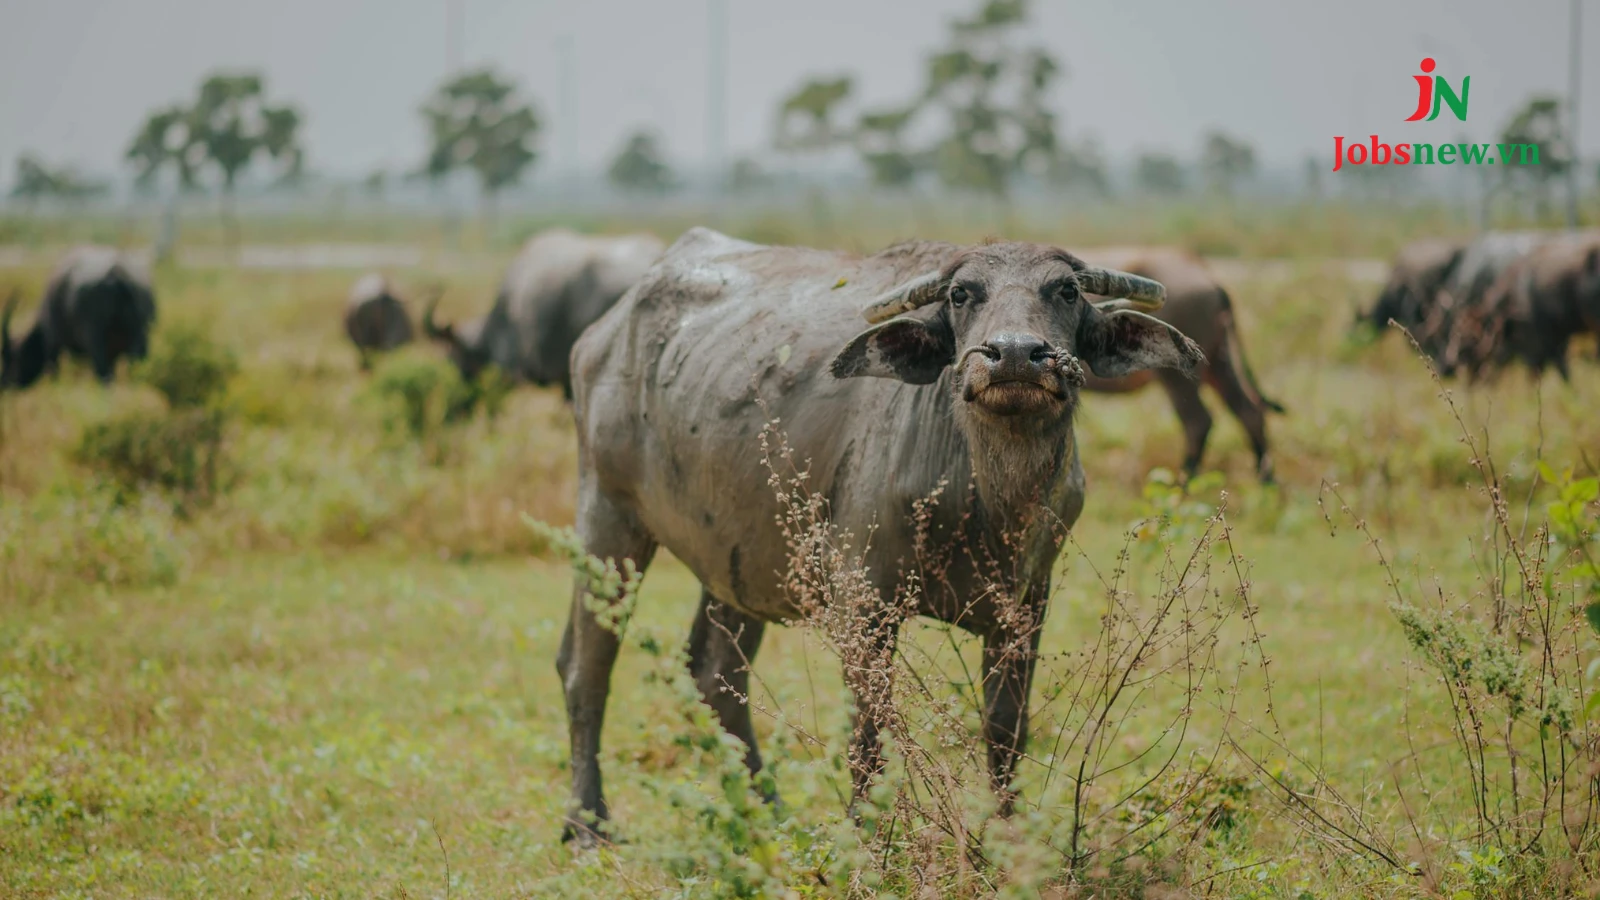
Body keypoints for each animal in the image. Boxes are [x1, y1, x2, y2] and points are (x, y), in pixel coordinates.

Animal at [1, 243, 156, 387]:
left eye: (12, 359)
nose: (4, 383)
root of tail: (117, 273)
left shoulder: (52, 343)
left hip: (95, 341)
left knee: (104, 375)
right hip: (140, 339)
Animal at [556, 225, 1196, 839]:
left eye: (1065, 291)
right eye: (961, 294)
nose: (1015, 354)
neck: (985, 500)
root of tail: (601, 336)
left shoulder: (1026, 606)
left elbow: (1005, 728)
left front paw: (1006, 835)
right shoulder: (863, 604)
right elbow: (870, 730)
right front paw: (868, 834)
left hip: (739, 560)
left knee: (715, 674)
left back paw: (768, 810)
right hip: (608, 520)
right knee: (587, 668)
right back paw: (588, 822)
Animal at [1068, 245, 1280, 480]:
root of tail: (1209, 275)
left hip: (1178, 375)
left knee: (1198, 421)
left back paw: (1184, 481)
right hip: (1218, 362)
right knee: (1249, 410)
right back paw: (1265, 480)